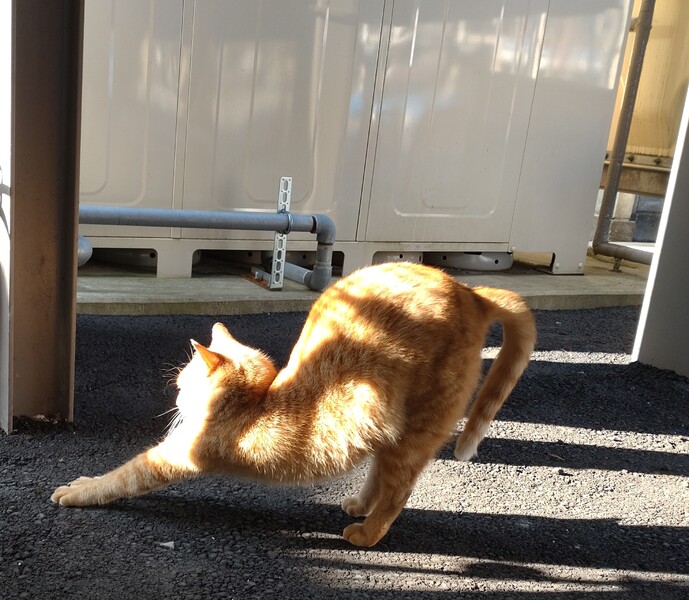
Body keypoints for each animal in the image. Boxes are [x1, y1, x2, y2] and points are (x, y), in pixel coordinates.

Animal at [51, 262, 536, 547]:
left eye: (183, 385)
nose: (175, 399)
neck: (253, 404)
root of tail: (471, 291)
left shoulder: (177, 455)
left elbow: (122, 477)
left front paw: (80, 489)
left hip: (416, 433)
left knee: (398, 491)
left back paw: (367, 532)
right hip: (390, 430)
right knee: (379, 474)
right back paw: (360, 504)